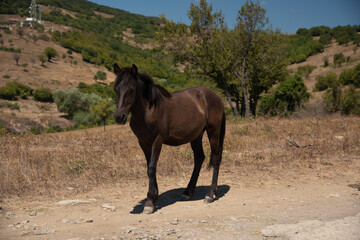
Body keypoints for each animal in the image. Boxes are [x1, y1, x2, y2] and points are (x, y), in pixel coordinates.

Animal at [112, 63, 225, 214]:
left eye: (131, 89)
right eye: (115, 89)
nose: (119, 117)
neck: (148, 110)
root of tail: (215, 96)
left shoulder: (157, 141)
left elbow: (152, 167)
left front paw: (149, 202)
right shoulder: (143, 142)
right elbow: (149, 168)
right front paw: (154, 197)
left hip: (213, 131)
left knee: (216, 158)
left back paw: (210, 194)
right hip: (196, 136)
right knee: (199, 158)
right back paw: (188, 192)